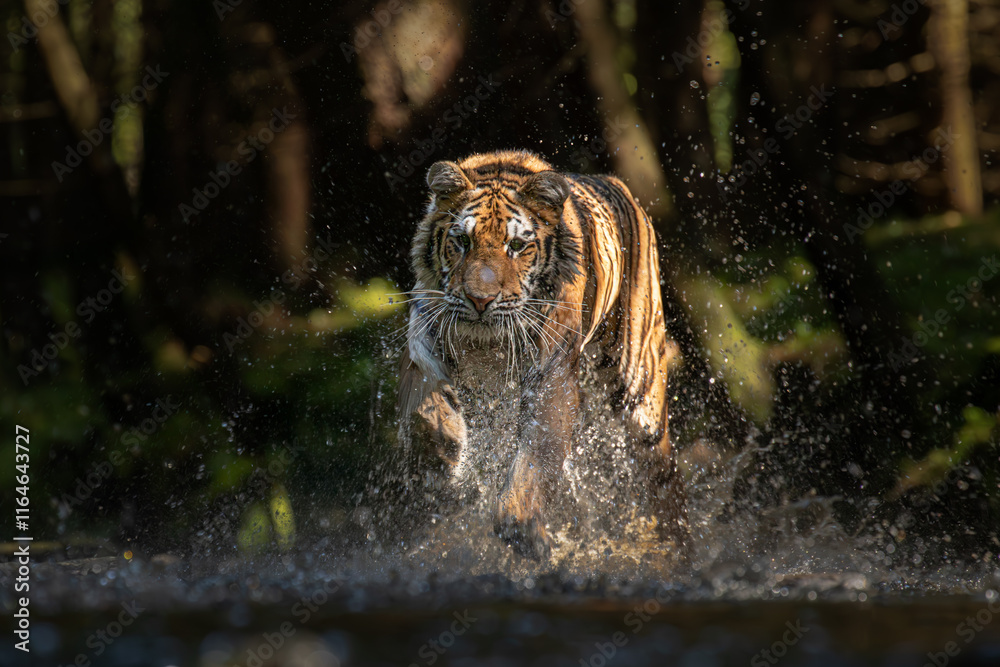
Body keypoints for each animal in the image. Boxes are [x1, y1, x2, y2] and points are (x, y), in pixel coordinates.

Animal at [397, 149, 686, 559]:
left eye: (517, 246)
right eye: (463, 241)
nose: (480, 300)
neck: (486, 342)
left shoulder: (550, 374)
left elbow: (534, 459)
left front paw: (524, 531)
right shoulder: (425, 328)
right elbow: (427, 403)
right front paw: (444, 449)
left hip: (639, 391)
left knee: (664, 474)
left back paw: (677, 549)